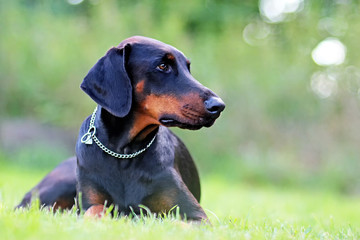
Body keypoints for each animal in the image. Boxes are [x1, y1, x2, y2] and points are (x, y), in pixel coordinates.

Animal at [17, 36, 225, 222]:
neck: (124, 152)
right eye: (162, 66)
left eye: (188, 68)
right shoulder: (88, 203)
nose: (218, 106)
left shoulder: (195, 215)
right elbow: (95, 210)